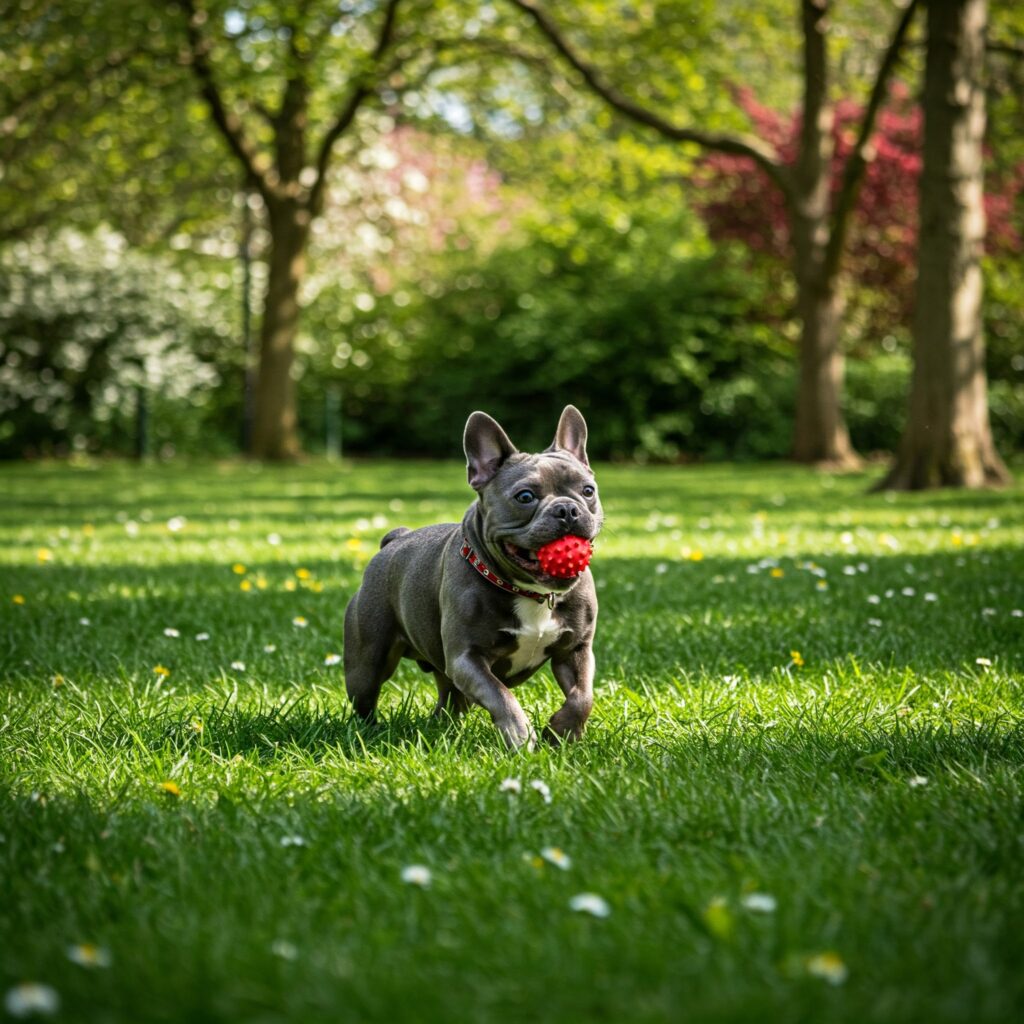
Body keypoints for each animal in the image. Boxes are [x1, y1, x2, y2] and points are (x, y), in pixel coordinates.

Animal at [344, 407, 598, 753]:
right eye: (525, 496)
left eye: (588, 491)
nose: (568, 509)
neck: (532, 593)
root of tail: (395, 539)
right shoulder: (467, 658)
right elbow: (500, 695)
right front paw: (521, 736)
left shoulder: (576, 650)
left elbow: (583, 696)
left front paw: (562, 731)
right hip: (368, 661)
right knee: (365, 698)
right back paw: (370, 731)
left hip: (441, 669)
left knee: (449, 698)